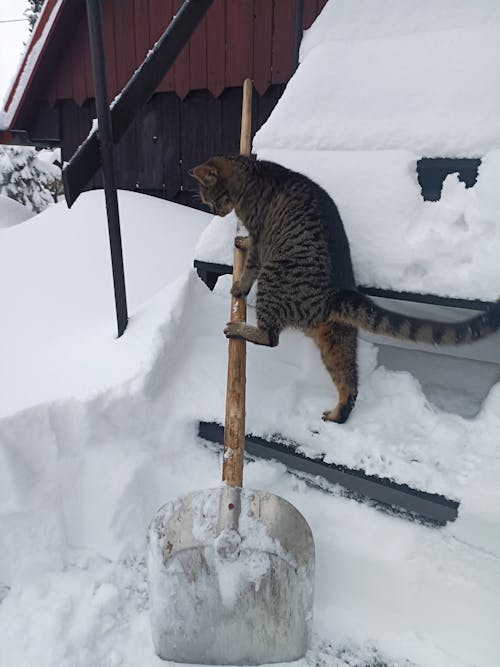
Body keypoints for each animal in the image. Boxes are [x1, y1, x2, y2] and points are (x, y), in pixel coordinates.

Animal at [190, 157, 496, 422]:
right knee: (349, 382)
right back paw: (339, 414)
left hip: (273, 278)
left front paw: (239, 285)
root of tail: (333, 298)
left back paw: (240, 329)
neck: (251, 174)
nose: (215, 211)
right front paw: (239, 241)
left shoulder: (260, 238)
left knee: (271, 337)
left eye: (212, 199)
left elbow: (250, 264)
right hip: (338, 340)